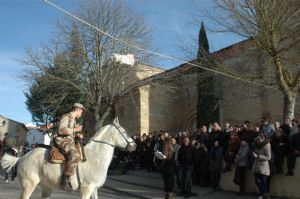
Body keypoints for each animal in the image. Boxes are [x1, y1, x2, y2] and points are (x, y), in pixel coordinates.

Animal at [0, 118, 136, 199]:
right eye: (124, 131)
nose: (134, 145)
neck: (96, 157)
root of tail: (23, 157)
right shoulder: (87, 189)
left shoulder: (94, 190)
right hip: (28, 185)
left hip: (46, 187)